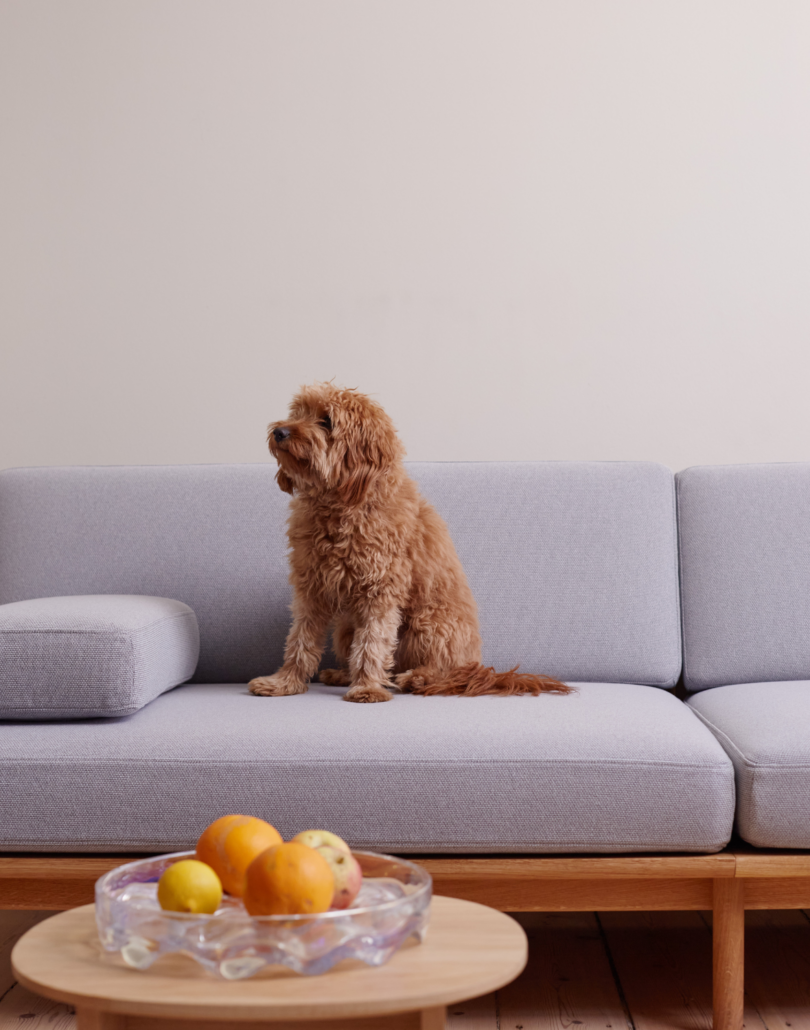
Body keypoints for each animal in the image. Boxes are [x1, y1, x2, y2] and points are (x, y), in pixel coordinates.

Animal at [246, 383, 568, 704]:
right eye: (297, 413)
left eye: (326, 421)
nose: (280, 432)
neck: (339, 508)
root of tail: (479, 667)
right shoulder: (310, 589)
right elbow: (299, 642)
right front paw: (284, 683)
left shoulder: (381, 590)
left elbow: (372, 644)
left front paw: (367, 688)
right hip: (345, 628)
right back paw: (343, 675)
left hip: (427, 624)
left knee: (444, 673)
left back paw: (415, 678)